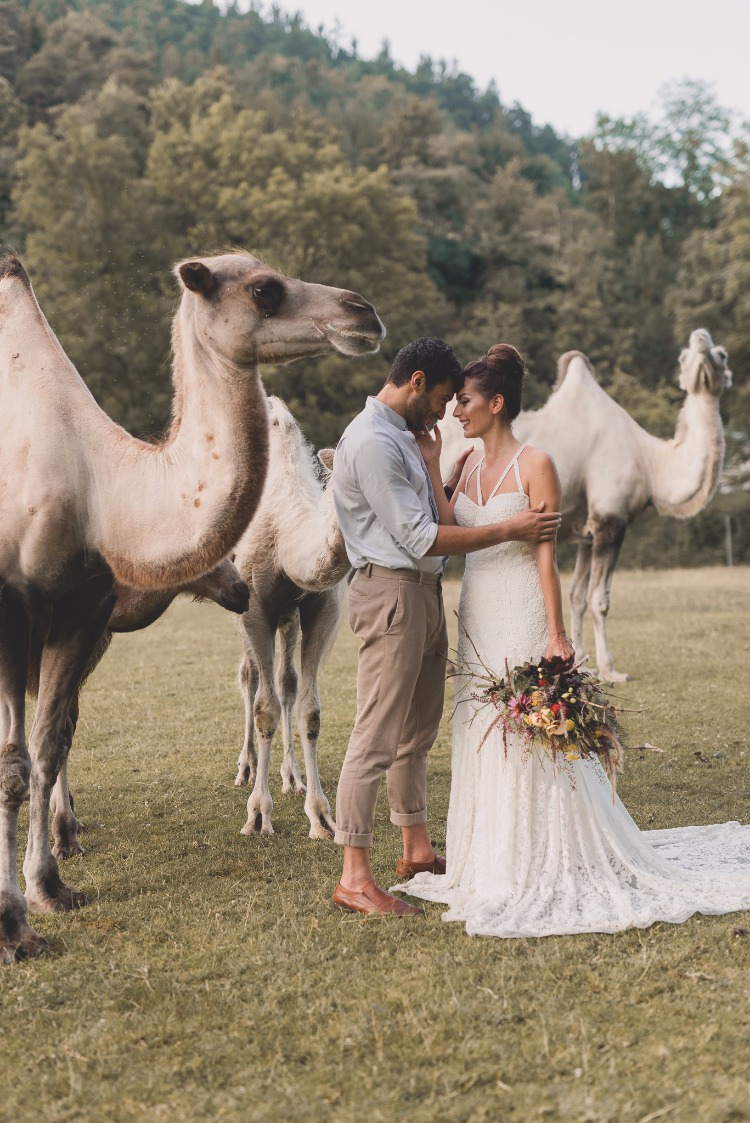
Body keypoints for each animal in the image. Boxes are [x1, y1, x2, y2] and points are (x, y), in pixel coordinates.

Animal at [234, 397, 352, 844]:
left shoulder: (322, 609)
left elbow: (309, 710)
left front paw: (321, 816)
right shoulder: (252, 606)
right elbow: (264, 708)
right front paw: (257, 816)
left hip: (289, 618)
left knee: (286, 683)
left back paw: (291, 776)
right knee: (250, 678)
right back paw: (247, 769)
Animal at [440, 327, 732, 678]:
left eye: (722, 354)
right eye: (684, 357)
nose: (700, 337)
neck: (649, 461)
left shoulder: (588, 532)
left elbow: (576, 595)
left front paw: (582, 663)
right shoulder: (611, 518)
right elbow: (599, 600)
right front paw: (610, 670)